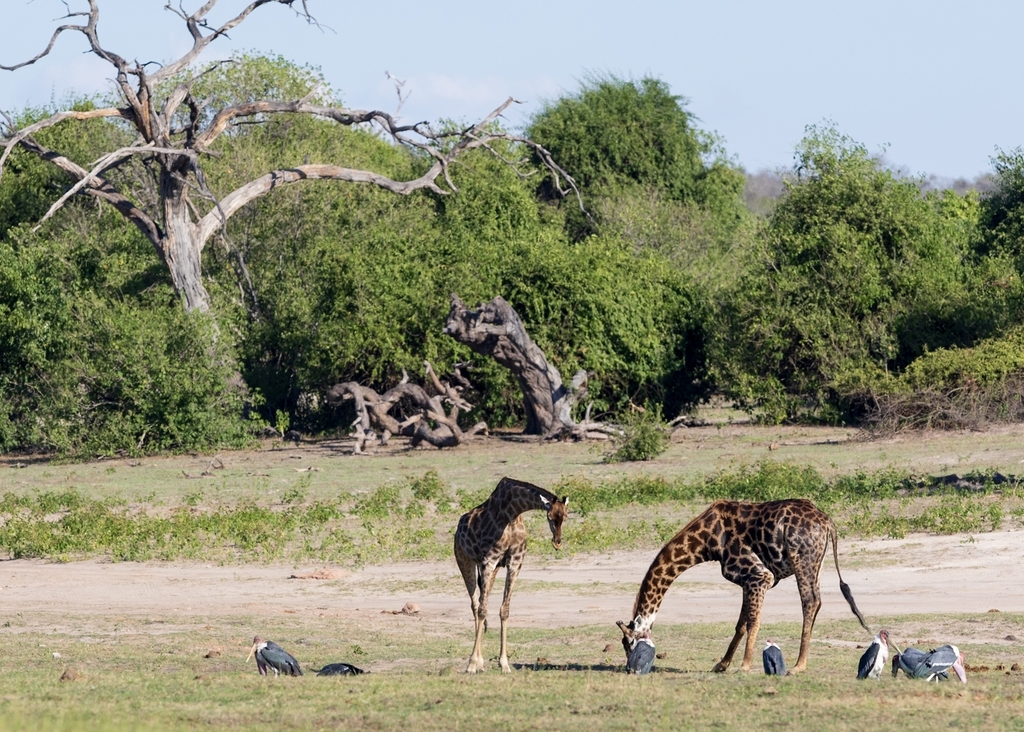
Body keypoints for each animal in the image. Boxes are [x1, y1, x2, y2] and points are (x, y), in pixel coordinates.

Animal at [454, 476, 568, 674]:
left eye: (566, 517)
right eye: (550, 517)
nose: (557, 542)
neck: (511, 514)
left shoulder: (514, 563)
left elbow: (504, 610)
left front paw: (504, 664)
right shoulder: (489, 561)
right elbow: (483, 609)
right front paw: (472, 664)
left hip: (490, 570)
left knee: (481, 602)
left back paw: (482, 663)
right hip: (464, 560)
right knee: (475, 605)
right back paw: (477, 662)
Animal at [616, 498, 868, 674]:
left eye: (629, 643)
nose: (629, 666)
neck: (707, 542)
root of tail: (828, 523)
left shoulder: (758, 575)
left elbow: (753, 621)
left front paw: (744, 665)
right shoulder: (750, 581)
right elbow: (741, 624)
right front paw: (721, 664)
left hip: (803, 560)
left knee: (810, 602)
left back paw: (799, 665)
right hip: (817, 563)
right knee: (816, 602)